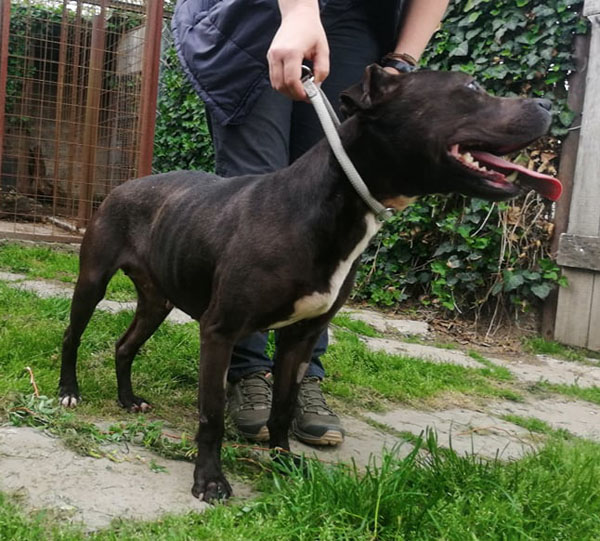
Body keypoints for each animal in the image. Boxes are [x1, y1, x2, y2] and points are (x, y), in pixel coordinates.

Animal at [58, 65, 561, 502]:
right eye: (472, 87)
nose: (546, 102)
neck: (331, 203)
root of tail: (125, 185)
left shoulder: (300, 338)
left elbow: (283, 408)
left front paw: (283, 462)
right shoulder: (219, 332)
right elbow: (212, 413)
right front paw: (210, 481)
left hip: (157, 302)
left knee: (125, 345)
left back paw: (128, 399)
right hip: (93, 281)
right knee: (72, 335)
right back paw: (69, 391)